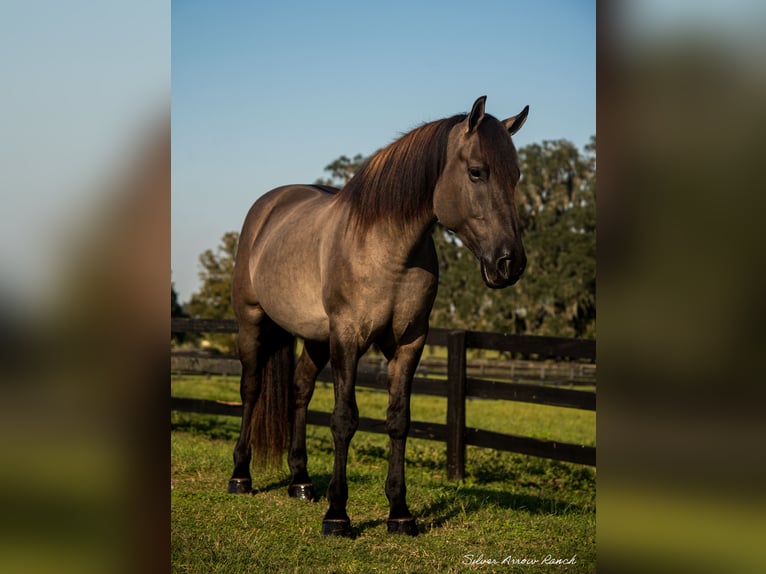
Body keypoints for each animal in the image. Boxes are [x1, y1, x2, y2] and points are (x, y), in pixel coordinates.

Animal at [228, 95, 528, 540]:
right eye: (477, 171)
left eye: (517, 176)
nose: (510, 263)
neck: (386, 248)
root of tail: (268, 207)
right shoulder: (348, 338)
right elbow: (344, 419)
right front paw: (338, 514)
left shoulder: (409, 344)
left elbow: (398, 420)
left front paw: (400, 513)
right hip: (252, 322)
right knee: (251, 389)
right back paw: (241, 475)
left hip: (316, 338)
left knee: (300, 390)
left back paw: (300, 482)